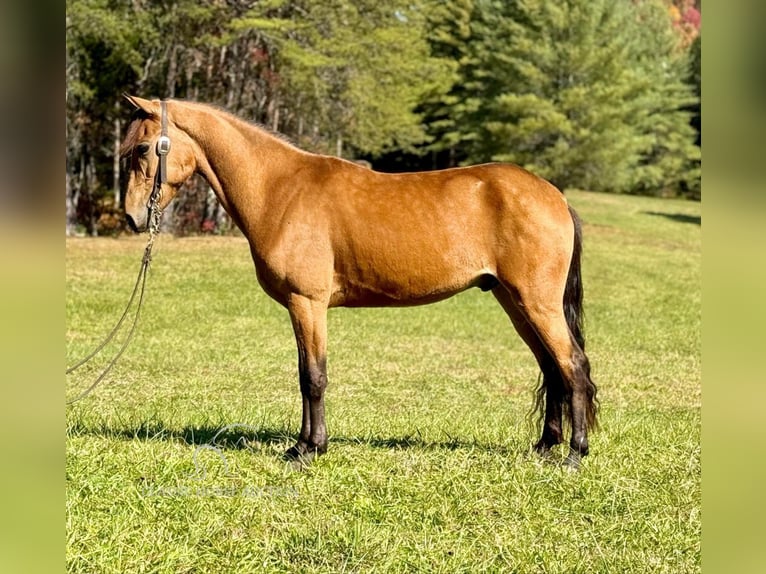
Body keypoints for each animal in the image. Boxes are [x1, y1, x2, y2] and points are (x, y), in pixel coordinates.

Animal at [120, 97, 600, 470]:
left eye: (142, 147)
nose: (131, 217)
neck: (280, 188)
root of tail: (554, 196)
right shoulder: (303, 306)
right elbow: (305, 374)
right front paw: (306, 444)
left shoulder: (307, 302)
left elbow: (313, 376)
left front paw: (308, 450)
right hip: (515, 303)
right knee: (551, 368)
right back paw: (544, 447)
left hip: (536, 303)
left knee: (573, 365)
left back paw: (574, 455)